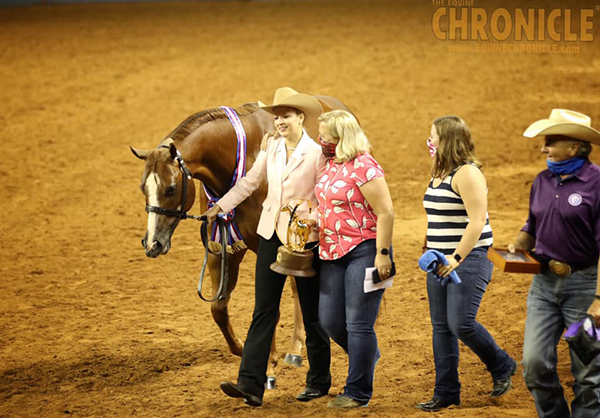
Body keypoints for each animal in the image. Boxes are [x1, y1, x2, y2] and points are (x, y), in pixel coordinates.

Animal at [131, 98, 354, 388]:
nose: (152, 244)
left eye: (170, 188)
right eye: (143, 187)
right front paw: (242, 350)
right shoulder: (221, 248)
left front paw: (267, 369)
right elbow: (218, 308)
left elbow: (271, 308)